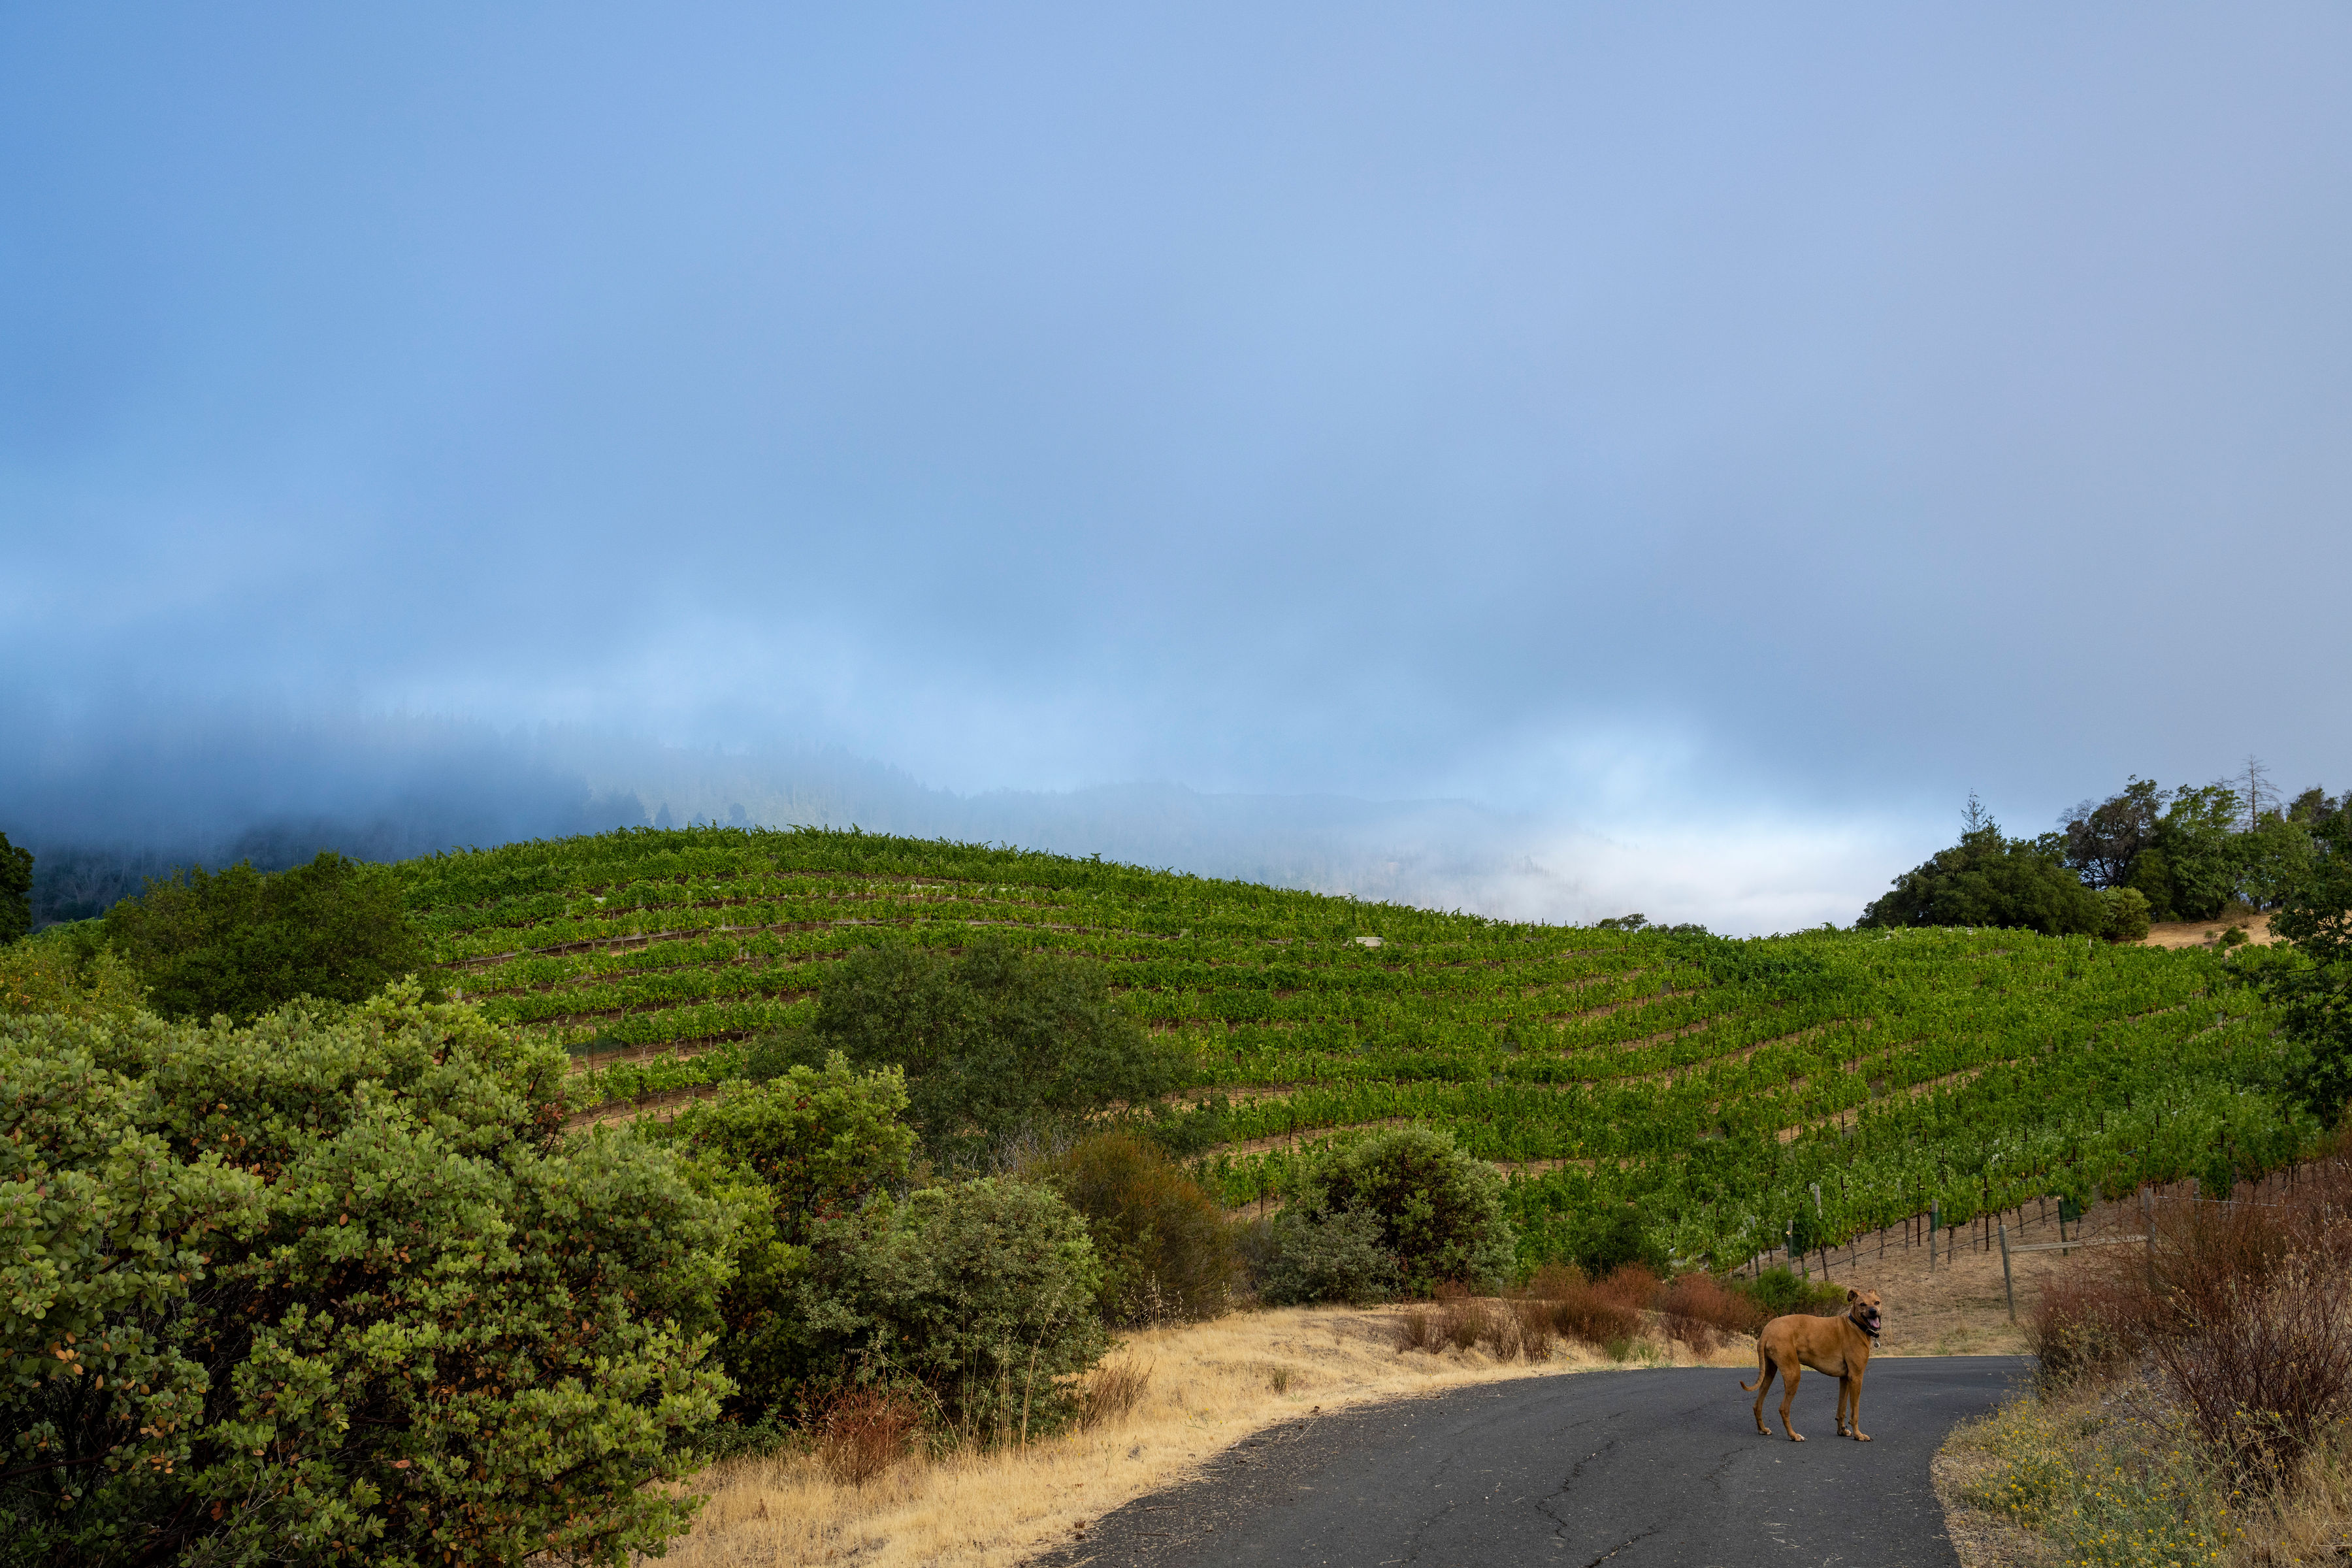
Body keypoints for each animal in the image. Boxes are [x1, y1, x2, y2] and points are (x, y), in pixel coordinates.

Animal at [1740, 1298, 1882, 1439]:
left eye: (1877, 1302)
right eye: (1862, 1304)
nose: (1873, 1311)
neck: (1855, 1325)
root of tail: (1767, 1330)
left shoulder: (1845, 1378)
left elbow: (1841, 1409)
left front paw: (1842, 1430)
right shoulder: (1856, 1377)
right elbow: (1855, 1412)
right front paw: (1859, 1435)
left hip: (1769, 1373)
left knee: (1757, 1405)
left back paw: (1763, 1430)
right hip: (1794, 1374)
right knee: (1783, 1409)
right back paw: (1793, 1435)